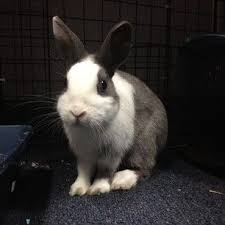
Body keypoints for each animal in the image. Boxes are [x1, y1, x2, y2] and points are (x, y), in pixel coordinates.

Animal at [52, 16, 167, 195]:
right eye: (65, 83)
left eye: (103, 85)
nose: (77, 112)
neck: (89, 129)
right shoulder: (83, 154)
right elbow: (83, 171)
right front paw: (78, 189)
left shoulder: (112, 152)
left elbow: (105, 171)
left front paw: (98, 189)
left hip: (144, 142)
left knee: (145, 167)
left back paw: (122, 180)